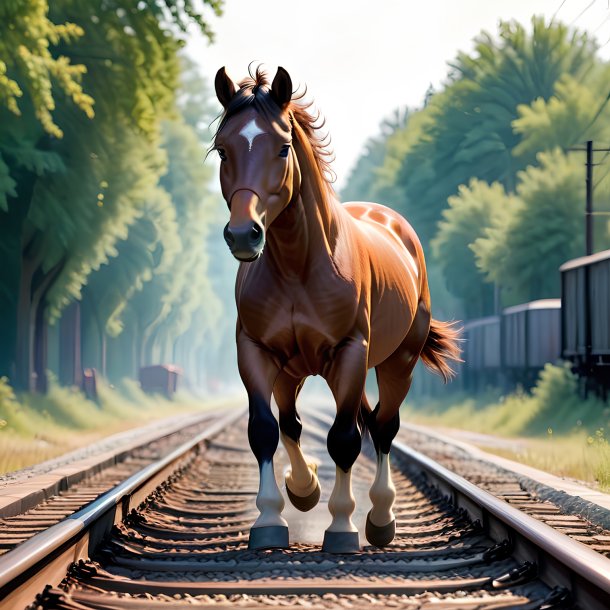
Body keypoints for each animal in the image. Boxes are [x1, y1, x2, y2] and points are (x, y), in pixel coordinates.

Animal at [213, 65, 456, 552]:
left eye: (283, 147)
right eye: (222, 149)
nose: (244, 234)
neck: (298, 265)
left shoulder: (349, 353)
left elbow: (344, 439)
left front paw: (341, 526)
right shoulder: (256, 353)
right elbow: (265, 429)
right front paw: (273, 516)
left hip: (396, 360)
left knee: (382, 427)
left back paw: (380, 518)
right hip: (293, 371)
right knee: (300, 424)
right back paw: (306, 489)